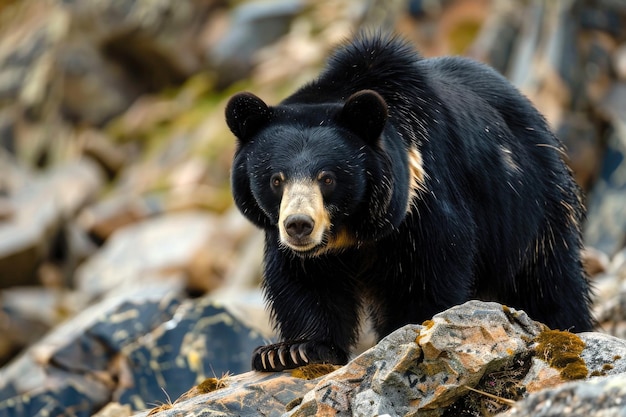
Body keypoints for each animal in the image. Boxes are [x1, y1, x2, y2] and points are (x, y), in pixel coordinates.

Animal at [224, 33, 588, 370]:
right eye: (276, 179)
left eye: (327, 178)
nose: (299, 225)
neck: (352, 230)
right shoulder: (296, 246)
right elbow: (304, 281)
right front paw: (288, 351)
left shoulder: (423, 199)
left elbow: (430, 270)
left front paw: (411, 333)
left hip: (533, 207)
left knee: (548, 281)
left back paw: (566, 327)